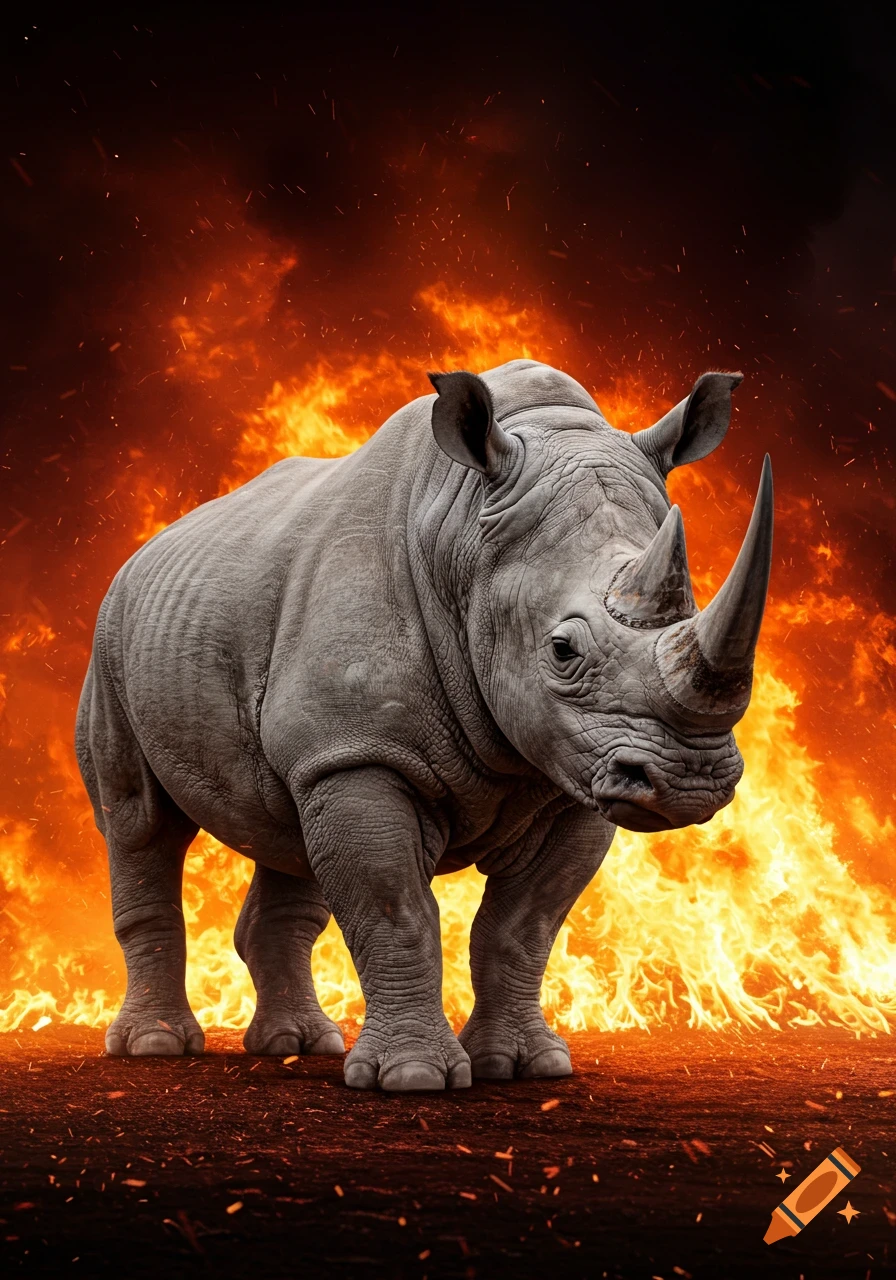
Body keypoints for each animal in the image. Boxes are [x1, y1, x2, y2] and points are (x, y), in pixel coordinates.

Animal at [75, 358, 772, 1091]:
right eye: (562, 650)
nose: (690, 781)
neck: (464, 532)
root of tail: (144, 552)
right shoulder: (361, 751)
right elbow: (397, 911)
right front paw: (412, 1079)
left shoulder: (573, 772)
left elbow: (523, 927)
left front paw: (528, 1066)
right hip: (114, 636)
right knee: (140, 821)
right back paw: (155, 1045)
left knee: (286, 827)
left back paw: (299, 1043)